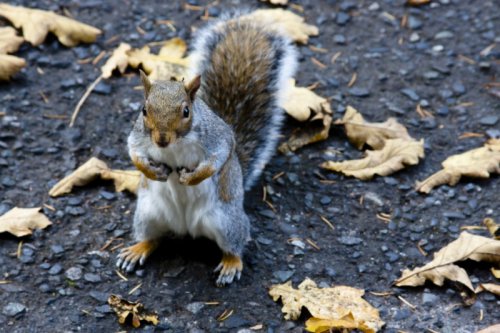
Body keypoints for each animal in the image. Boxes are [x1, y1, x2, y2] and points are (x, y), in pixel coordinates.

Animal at [117, 11, 296, 284]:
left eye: (186, 111)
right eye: (144, 110)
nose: (161, 140)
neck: (176, 144)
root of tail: (186, 229)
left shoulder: (218, 137)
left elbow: (219, 157)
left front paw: (192, 178)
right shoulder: (139, 135)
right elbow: (133, 151)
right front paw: (151, 171)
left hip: (226, 222)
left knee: (235, 244)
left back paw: (231, 263)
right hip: (147, 215)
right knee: (152, 238)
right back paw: (137, 249)